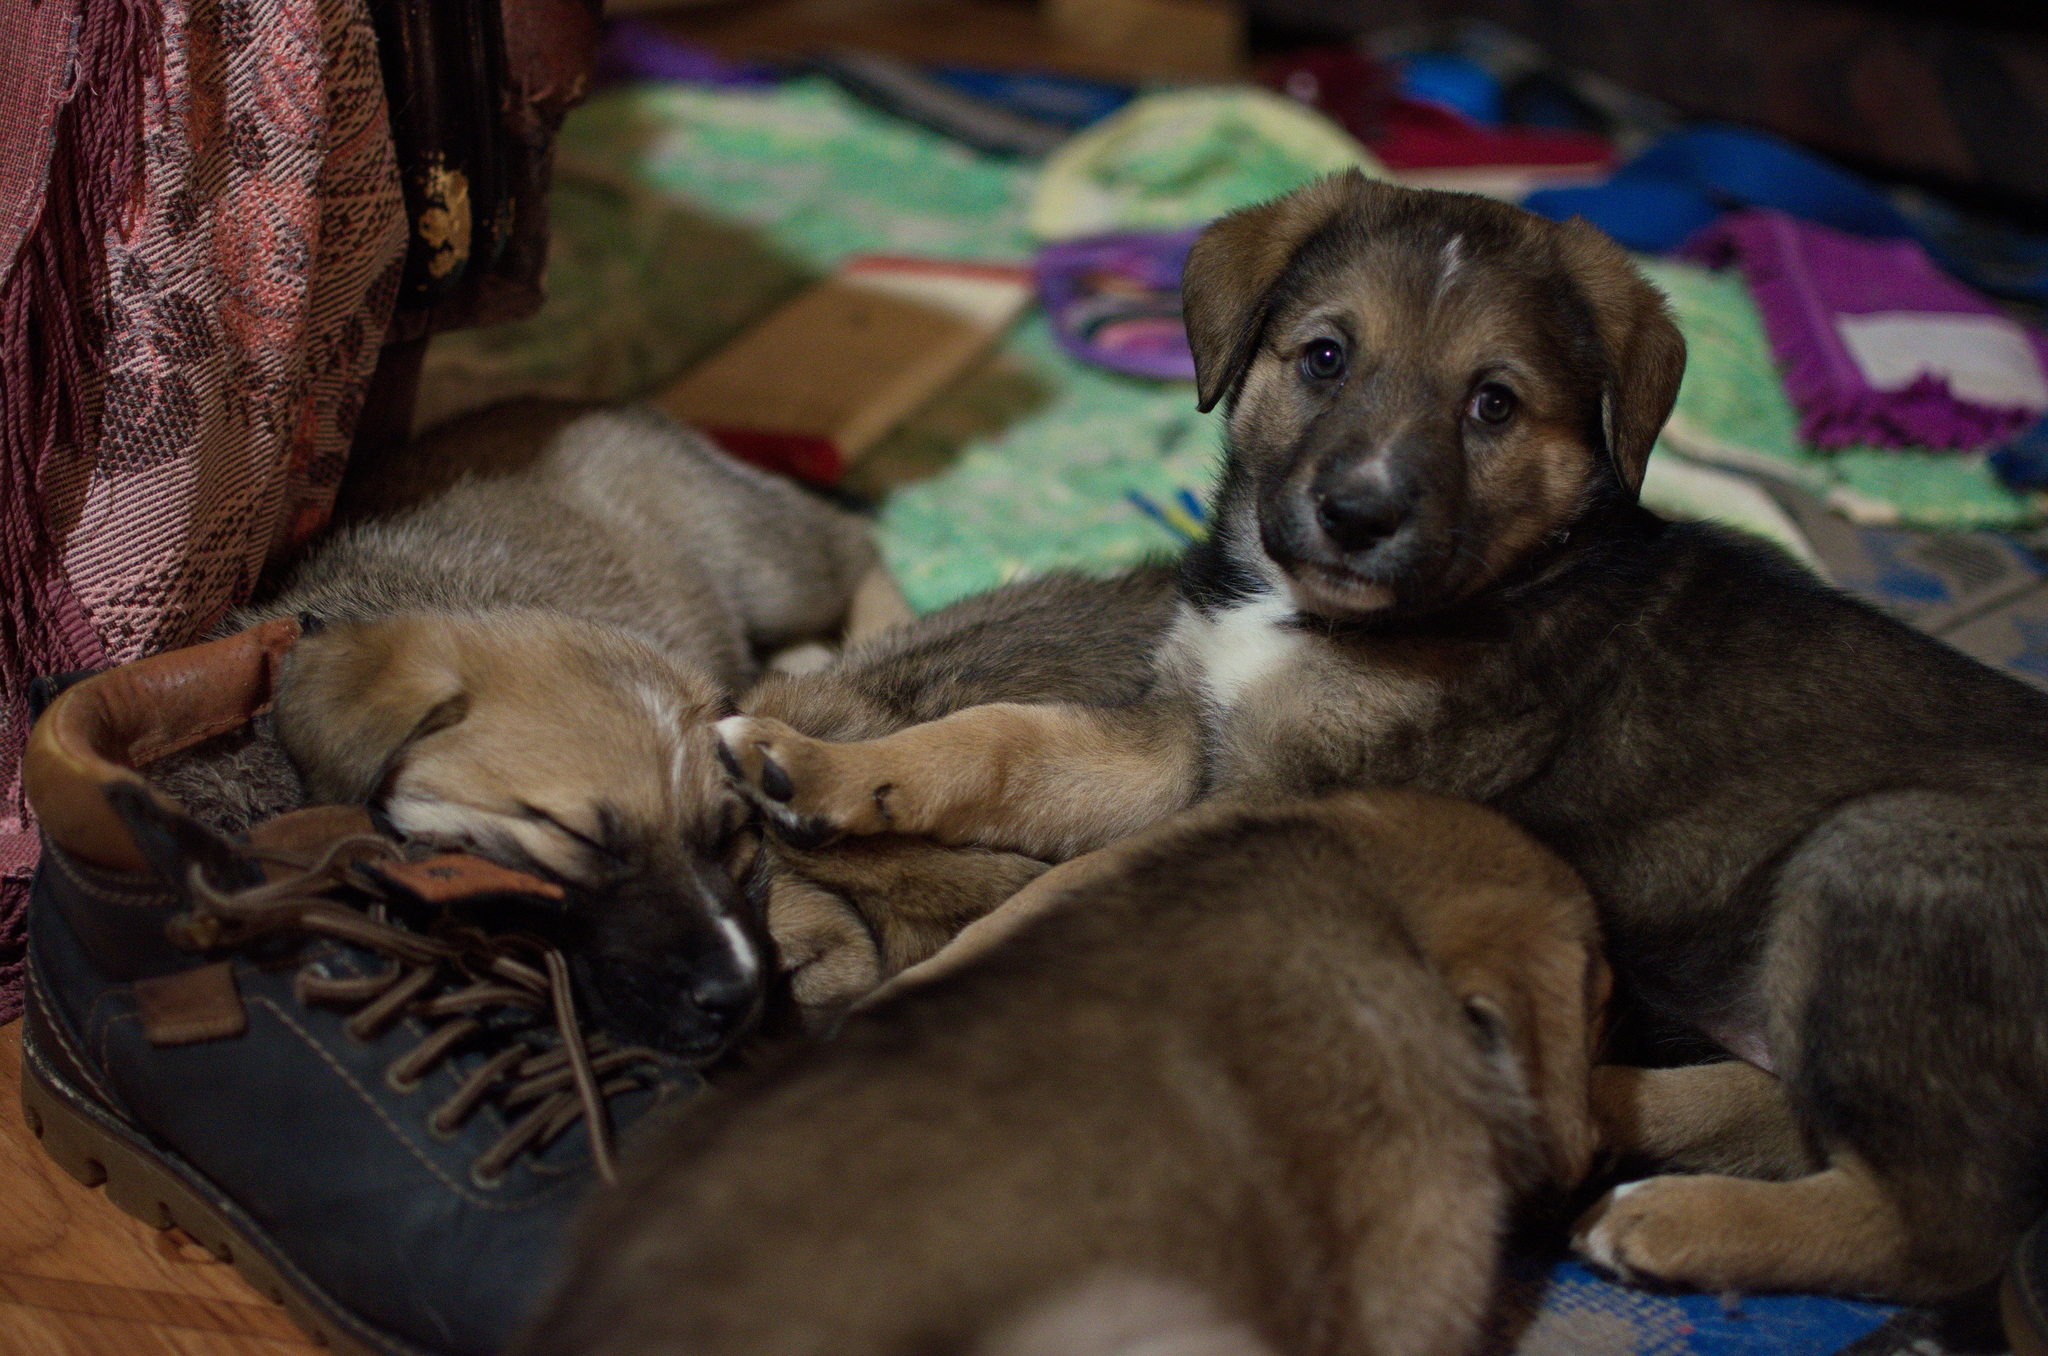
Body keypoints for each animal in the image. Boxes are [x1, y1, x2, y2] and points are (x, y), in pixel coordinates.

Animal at [720, 170, 2048, 1310]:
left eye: (1492, 403)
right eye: (1323, 356)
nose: (1356, 515)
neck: (1322, 615)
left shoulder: (1276, 798)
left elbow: (1063, 887)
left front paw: (930, 986)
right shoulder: (1177, 742)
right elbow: (996, 738)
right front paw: (811, 762)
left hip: (1876, 859)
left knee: (1942, 1226)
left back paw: (1672, 1222)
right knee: (1780, 1111)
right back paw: (1595, 1119)